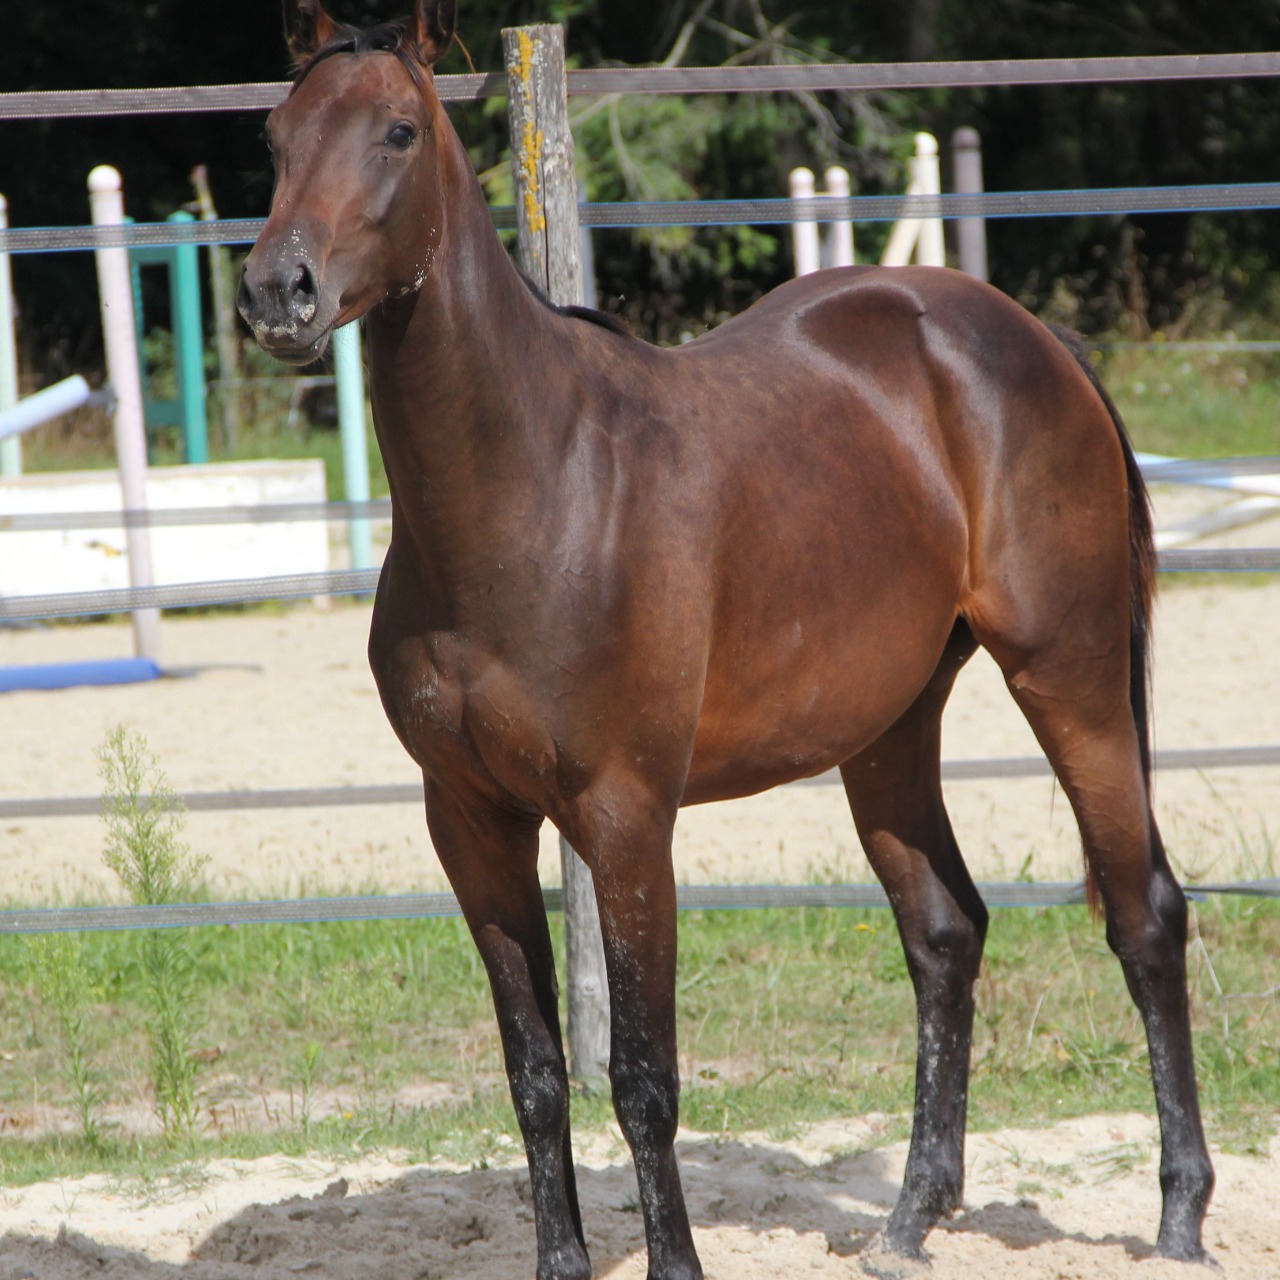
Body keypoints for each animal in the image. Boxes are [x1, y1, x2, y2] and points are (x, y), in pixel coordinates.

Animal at [238, 5, 1208, 1274]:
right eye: (275, 136)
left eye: (396, 131)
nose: (276, 291)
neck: (528, 490)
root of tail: (1024, 336)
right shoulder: (471, 821)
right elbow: (534, 1072)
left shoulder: (625, 815)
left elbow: (641, 1077)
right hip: (886, 727)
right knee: (943, 933)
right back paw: (908, 1218)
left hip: (1071, 678)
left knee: (1143, 915)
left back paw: (1178, 1216)